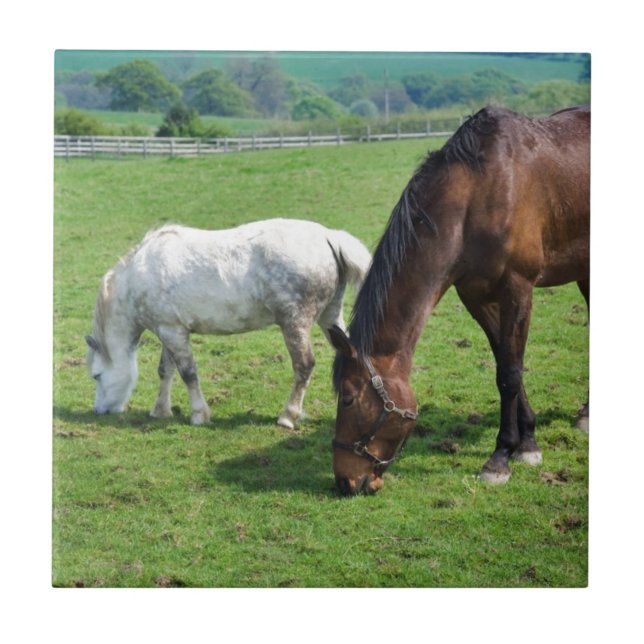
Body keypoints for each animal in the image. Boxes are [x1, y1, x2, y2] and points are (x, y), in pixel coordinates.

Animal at [85, 218, 371, 428]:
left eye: (96, 375)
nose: (100, 410)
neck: (141, 274)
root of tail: (328, 236)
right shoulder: (169, 330)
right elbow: (166, 371)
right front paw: (160, 410)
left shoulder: (173, 333)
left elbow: (188, 373)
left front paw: (199, 415)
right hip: (330, 317)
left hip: (294, 323)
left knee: (304, 365)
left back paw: (288, 416)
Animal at [330, 105, 590, 495]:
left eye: (347, 398)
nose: (345, 481)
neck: (477, 195)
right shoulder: (476, 295)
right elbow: (505, 361)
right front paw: (527, 441)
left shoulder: (518, 287)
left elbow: (510, 373)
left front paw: (500, 457)